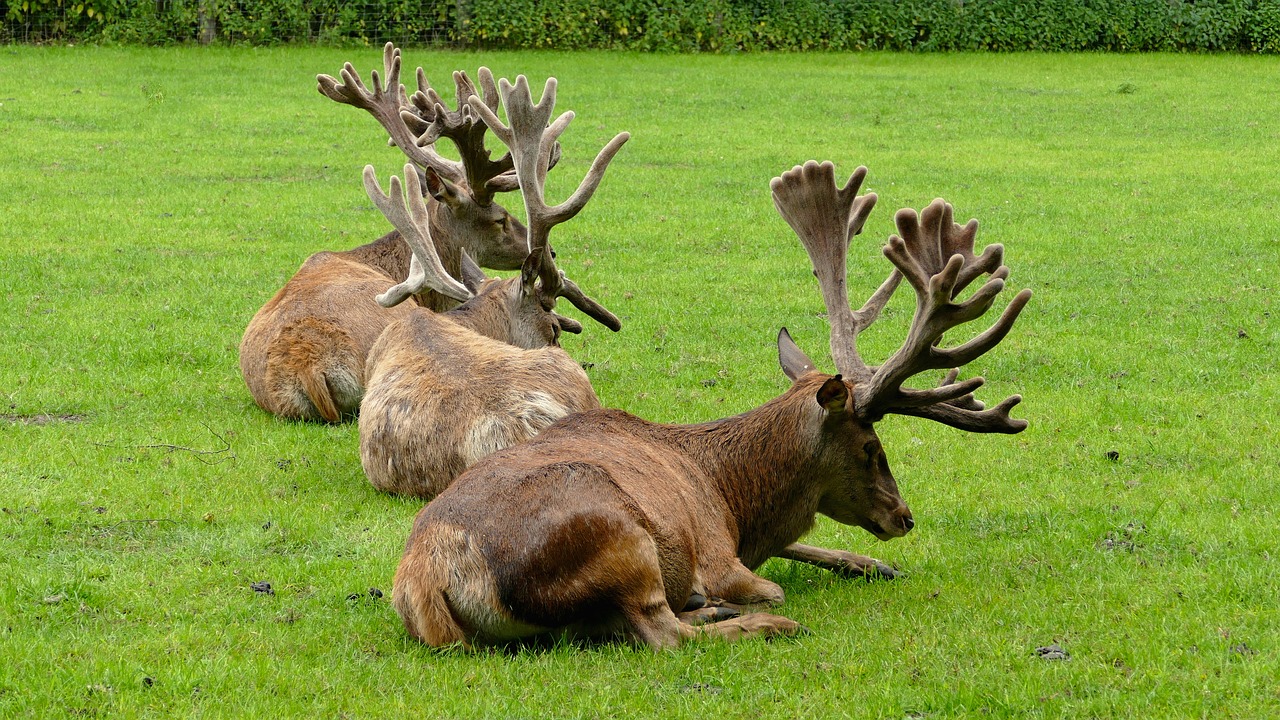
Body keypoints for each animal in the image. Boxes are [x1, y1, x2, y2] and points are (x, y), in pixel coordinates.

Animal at [386, 159, 1029, 648]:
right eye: (872, 446)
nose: (904, 516)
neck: (731, 491)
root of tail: (428, 582)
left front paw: (871, 563)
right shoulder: (719, 551)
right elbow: (771, 580)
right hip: (618, 538)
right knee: (662, 632)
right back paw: (753, 619)